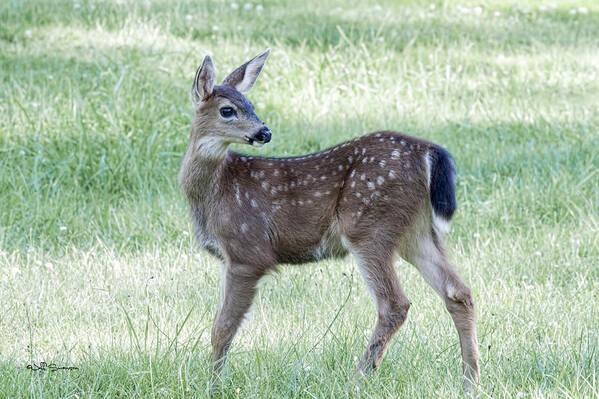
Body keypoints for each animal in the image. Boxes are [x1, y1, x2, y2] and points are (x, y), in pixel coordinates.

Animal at [179, 49, 482, 394]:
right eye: (228, 109)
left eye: (250, 105)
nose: (264, 132)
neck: (215, 191)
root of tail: (428, 151)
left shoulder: (247, 252)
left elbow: (223, 327)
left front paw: (212, 386)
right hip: (415, 232)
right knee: (458, 292)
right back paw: (470, 381)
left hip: (368, 225)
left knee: (395, 304)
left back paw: (358, 379)